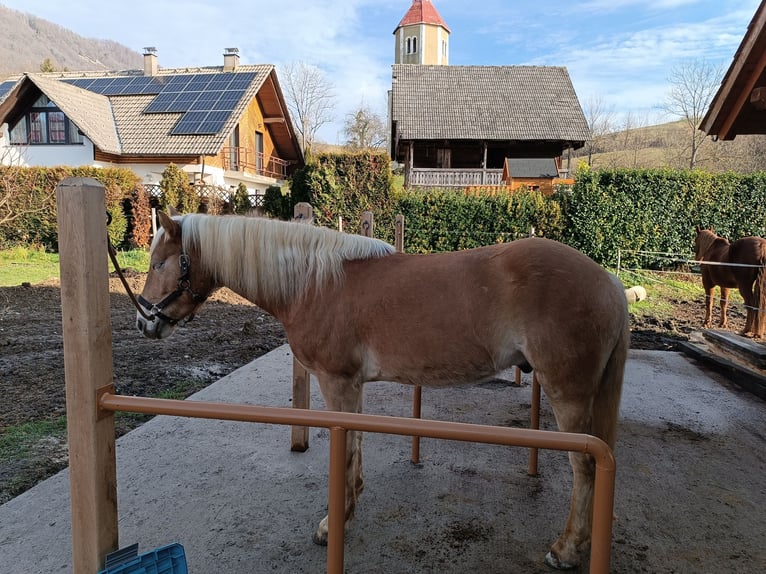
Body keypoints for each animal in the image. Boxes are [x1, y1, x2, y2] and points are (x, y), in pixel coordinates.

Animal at [136, 213, 632, 572]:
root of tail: (609, 282)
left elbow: (344, 452)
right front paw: (351, 505)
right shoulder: (352, 386)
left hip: (568, 396)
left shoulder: (335, 381)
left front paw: (332, 524)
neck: (314, 283)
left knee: (586, 469)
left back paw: (566, 550)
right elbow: (355, 444)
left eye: (159, 264)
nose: (144, 322)